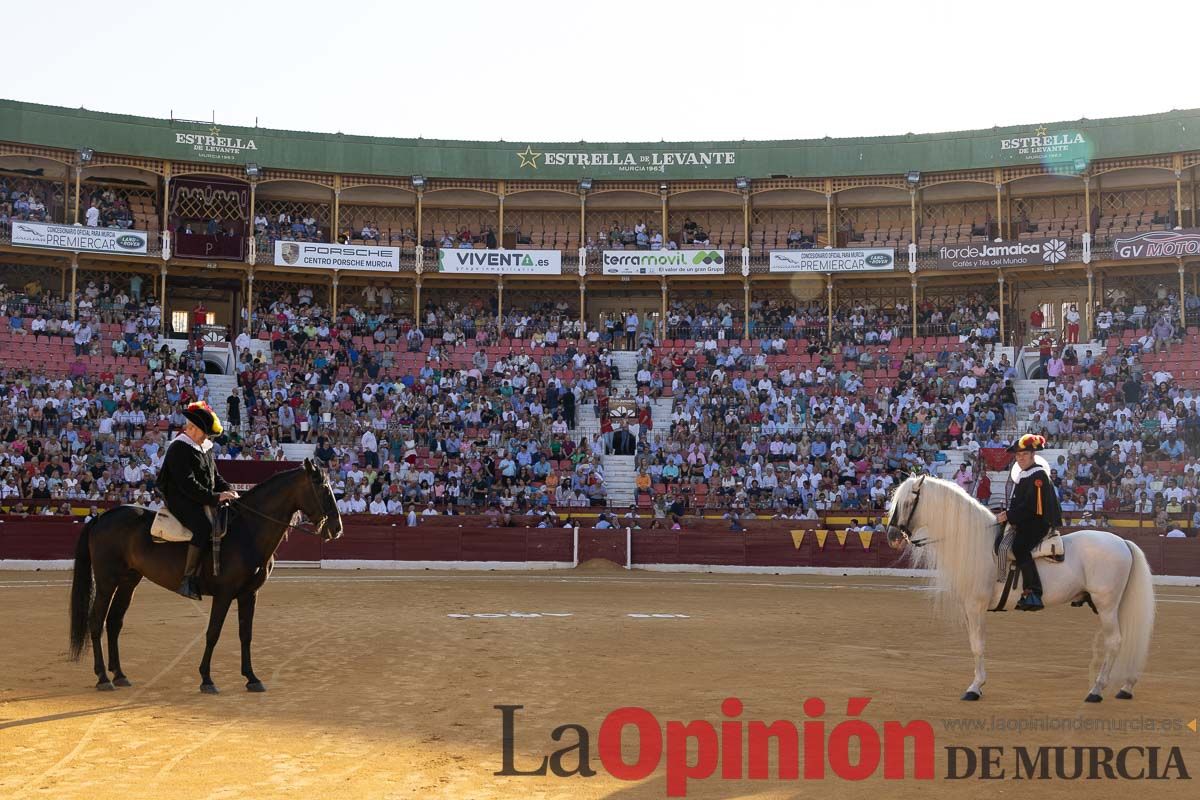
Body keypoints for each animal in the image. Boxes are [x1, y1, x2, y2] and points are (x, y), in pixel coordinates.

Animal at [69, 460, 343, 690]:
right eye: (323, 488)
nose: (337, 528)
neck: (246, 530)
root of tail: (101, 517)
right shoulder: (224, 594)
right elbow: (213, 633)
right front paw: (206, 679)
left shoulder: (249, 594)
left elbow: (246, 634)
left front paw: (251, 678)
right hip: (106, 581)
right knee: (96, 621)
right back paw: (103, 677)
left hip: (128, 581)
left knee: (115, 622)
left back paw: (119, 674)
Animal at [883, 474, 1152, 700]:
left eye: (908, 502)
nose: (892, 537)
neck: (976, 542)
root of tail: (1122, 542)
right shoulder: (969, 609)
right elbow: (974, 643)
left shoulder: (975, 606)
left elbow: (977, 645)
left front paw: (975, 687)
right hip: (1114, 605)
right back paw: (1126, 686)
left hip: (1106, 605)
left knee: (1114, 641)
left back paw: (1096, 690)